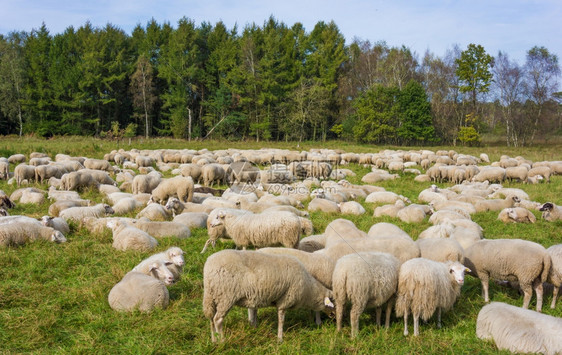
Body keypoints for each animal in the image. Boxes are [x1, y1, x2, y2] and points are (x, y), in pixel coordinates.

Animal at [201, 249, 332, 344]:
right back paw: (222, 341)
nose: (334, 318)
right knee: (218, 320)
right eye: (333, 302)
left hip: (211, 296)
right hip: (226, 296)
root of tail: (208, 267)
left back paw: (214, 340)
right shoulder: (285, 300)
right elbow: (281, 320)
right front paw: (280, 338)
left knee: (211, 318)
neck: (308, 289)